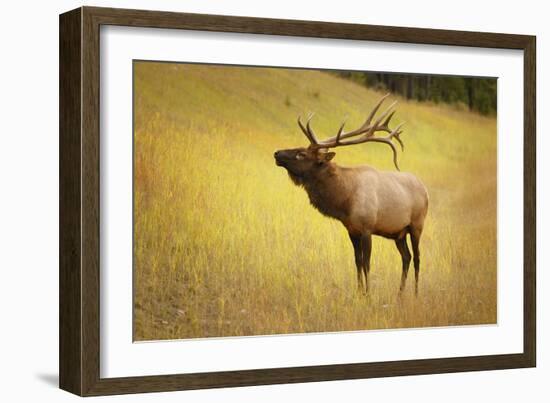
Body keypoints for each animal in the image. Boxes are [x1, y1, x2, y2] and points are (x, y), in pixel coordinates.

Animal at [276, 94, 432, 296]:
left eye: (301, 154)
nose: (277, 153)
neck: (345, 201)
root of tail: (425, 189)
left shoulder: (367, 228)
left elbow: (367, 264)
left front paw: (368, 295)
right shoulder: (351, 230)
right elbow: (357, 262)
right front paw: (359, 293)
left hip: (416, 225)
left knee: (418, 258)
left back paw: (415, 294)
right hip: (399, 233)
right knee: (406, 257)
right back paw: (399, 294)